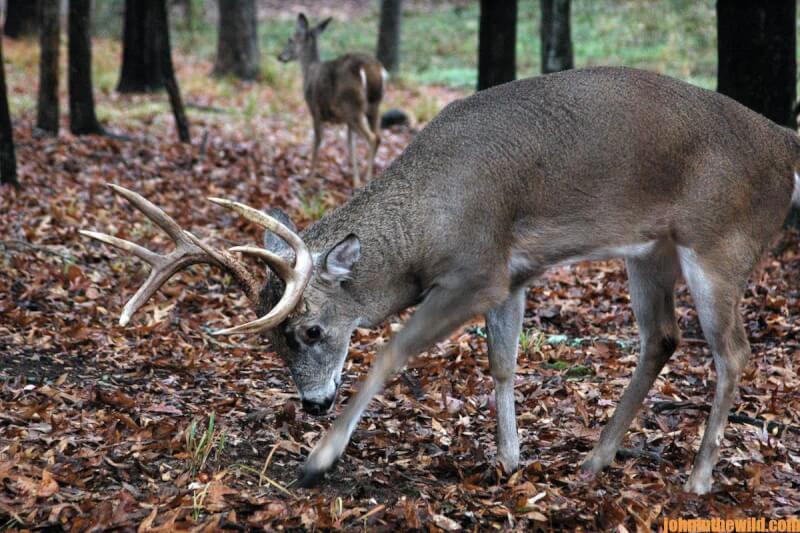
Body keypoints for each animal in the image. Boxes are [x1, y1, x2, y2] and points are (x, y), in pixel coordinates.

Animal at [81, 67, 800, 494]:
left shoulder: (477, 272)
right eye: (270, 339)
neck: (427, 221)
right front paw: (510, 458)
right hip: (651, 248)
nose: (311, 404)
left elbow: (394, 350)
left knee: (734, 351)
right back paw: (595, 459)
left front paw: (319, 459)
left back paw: (698, 478)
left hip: (721, 243)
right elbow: (503, 362)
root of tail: (785, 145)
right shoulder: (512, 273)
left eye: (310, 329)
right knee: (663, 337)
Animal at [278, 13, 384, 187]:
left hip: (351, 105)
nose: (280, 56)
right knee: (378, 136)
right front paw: (355, 181)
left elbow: (318, 142)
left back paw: (368, 178)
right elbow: (351, 146)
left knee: (372, 138)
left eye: (290, 39)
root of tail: (368, 69)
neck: (309, 70)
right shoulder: (346, 121)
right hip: (372, 106)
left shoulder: (315, 110)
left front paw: (309, 182)